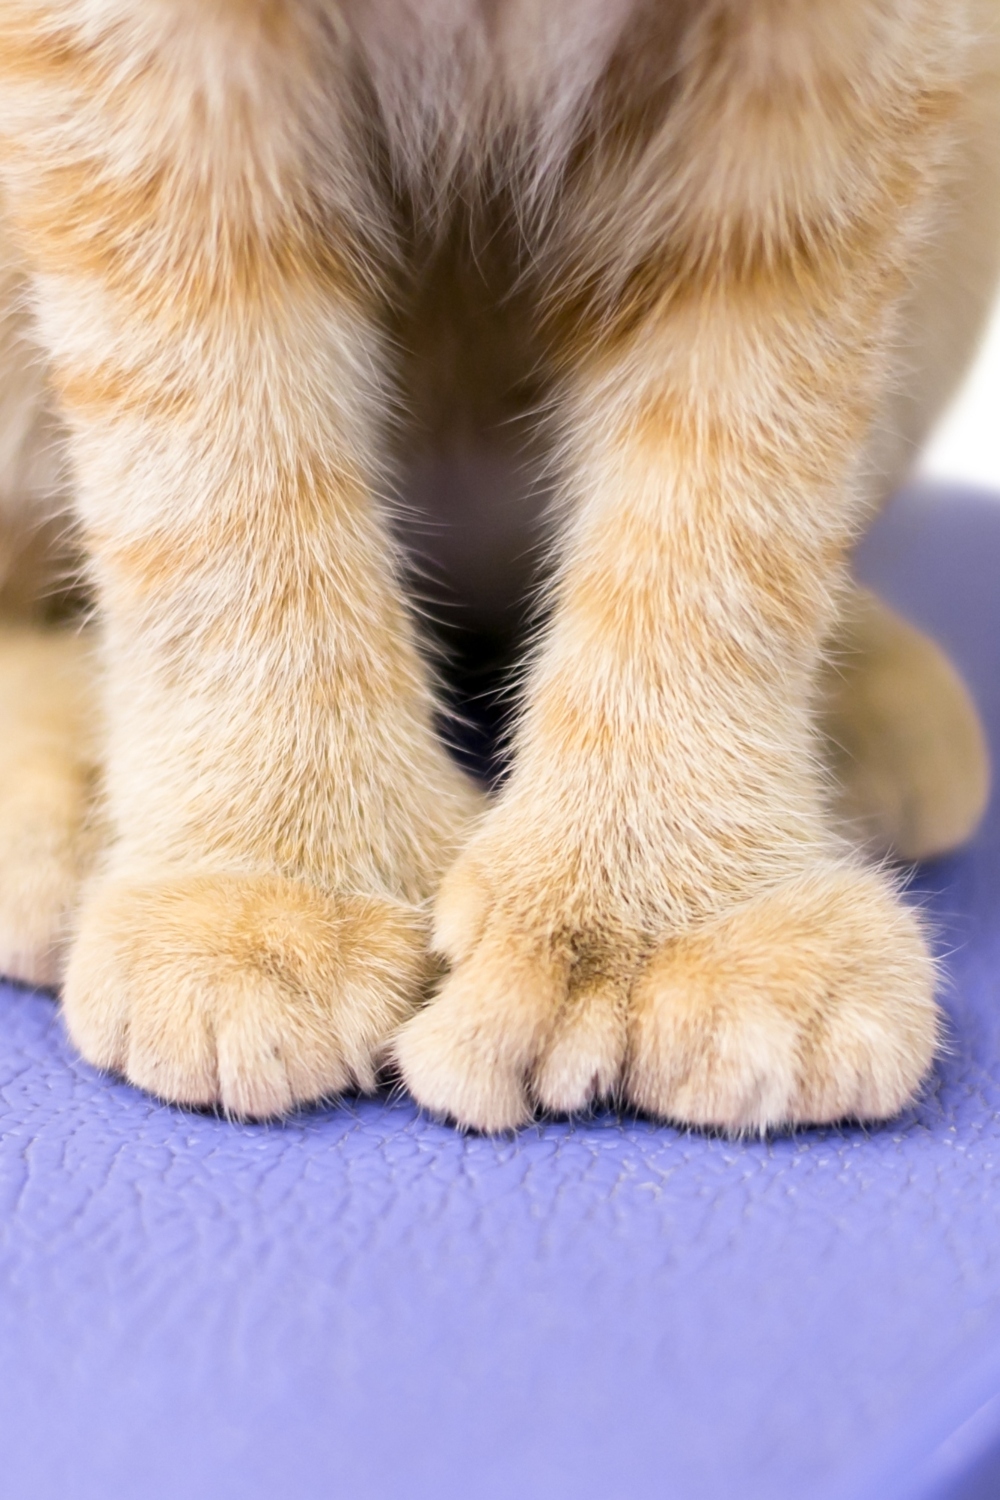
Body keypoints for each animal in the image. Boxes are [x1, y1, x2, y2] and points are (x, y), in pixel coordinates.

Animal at [0, 0, 995, 1128]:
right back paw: (63, 792)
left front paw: (659, 902)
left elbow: (732, 488)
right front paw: (281, 872)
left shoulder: (833, 75)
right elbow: (220, 446)